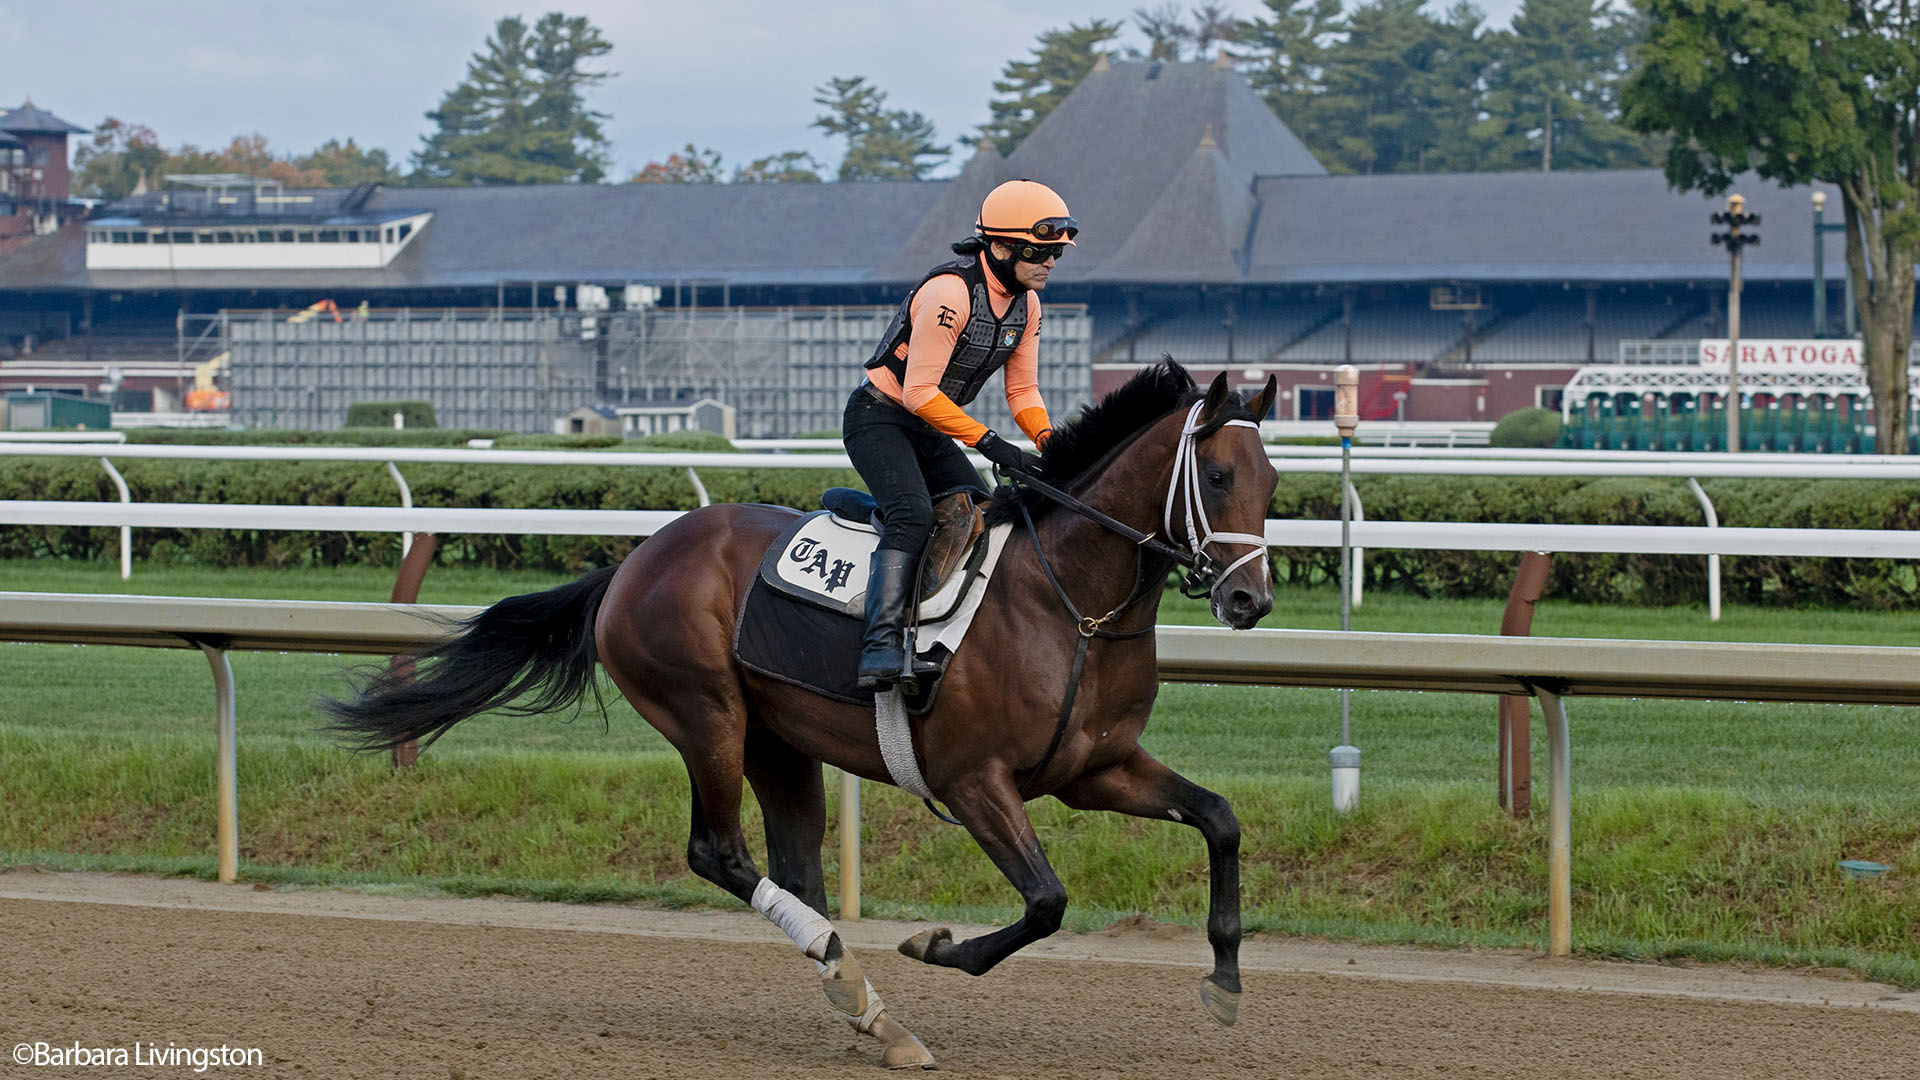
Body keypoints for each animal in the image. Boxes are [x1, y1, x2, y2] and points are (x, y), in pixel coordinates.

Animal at [328, 359, 1282, 1060]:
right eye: (1218, 474)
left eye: (1273, 483)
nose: (1250, 601)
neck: (1070, 607)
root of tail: (635, 560)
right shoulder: (974, 781)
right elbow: (1046, 901)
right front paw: (937, 946)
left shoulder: (1096, 768)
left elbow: (1221, 819)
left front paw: (1228, 980)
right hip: (707, 716)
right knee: (718, 852)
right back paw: (851, 979)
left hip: (781, 744)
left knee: (797, 871)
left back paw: (866, 1005)